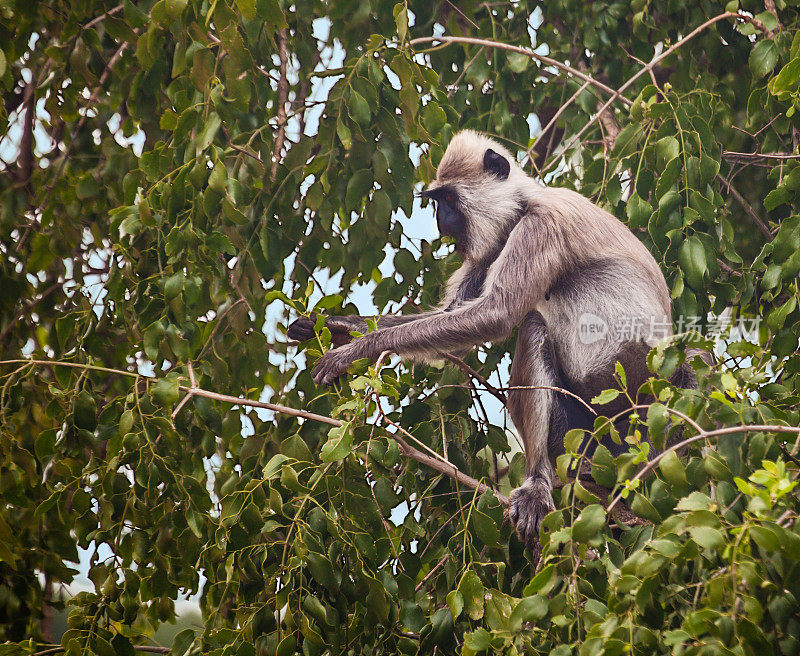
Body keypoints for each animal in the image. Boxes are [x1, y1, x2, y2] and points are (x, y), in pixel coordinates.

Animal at [288, 129, 692, 548]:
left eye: (449, 200)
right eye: (438, 202)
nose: (441, 220)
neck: (524, 204)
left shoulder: (538, 226)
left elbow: (496, 315)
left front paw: (356, 350)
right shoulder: (496, 243)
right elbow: (454, 321)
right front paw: (338, 325)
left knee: (533, 325)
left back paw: (537, 484)